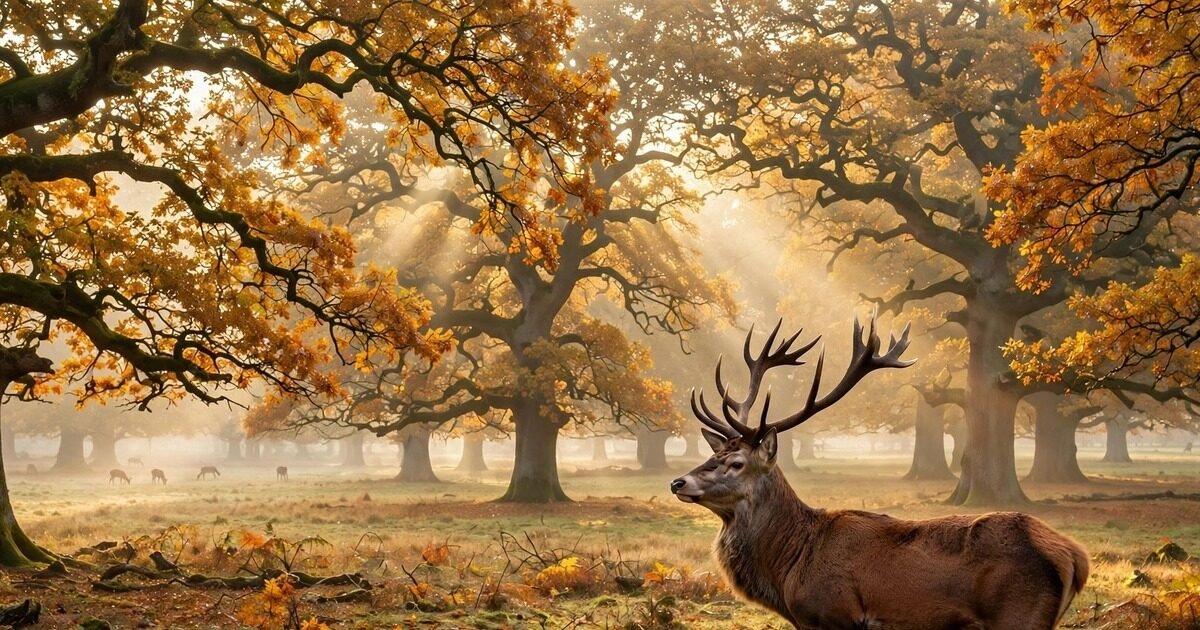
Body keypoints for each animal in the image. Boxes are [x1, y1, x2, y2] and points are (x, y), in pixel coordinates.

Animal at [670, 315, 1089, 630]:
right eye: (715, 453)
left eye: (737, 463)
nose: (678, 481)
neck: (790, 567)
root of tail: (1074, 556)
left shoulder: (835, 614)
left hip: (1018, 614)